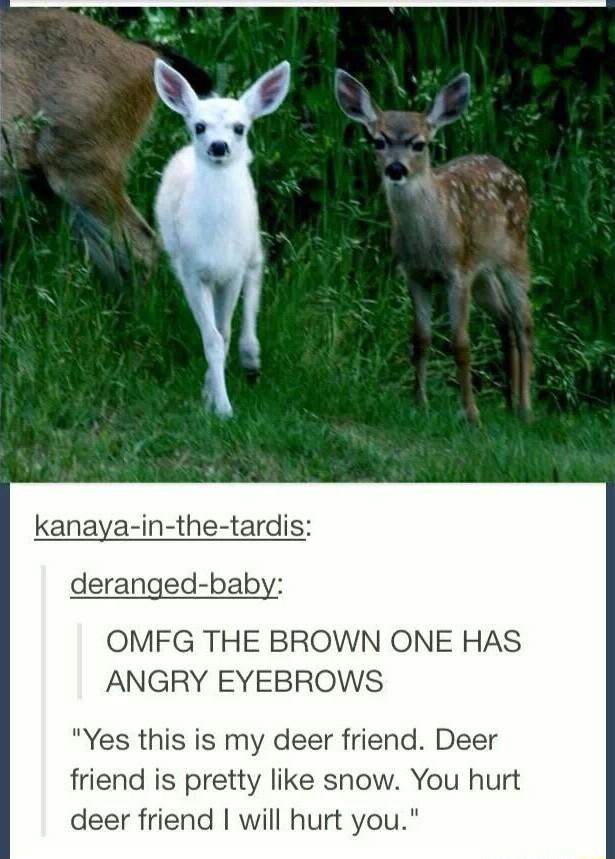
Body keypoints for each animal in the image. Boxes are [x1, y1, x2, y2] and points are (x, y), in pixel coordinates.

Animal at [153, 59, 291, 418]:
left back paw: (251, 355)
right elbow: (212, 338)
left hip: (252, 242)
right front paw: (219, 403)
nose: (219, 146)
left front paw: (219, 401)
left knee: (257, 276)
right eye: (199, 126)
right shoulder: (191, 271)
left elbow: (224, 332)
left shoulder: (233, 271)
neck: (215, 238)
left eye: (240, 128)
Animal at [335, 69, 534, 423]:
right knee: (505, 319)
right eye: (378, 141)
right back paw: (509, 403)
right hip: (483, 274)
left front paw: (471, 413)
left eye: (419, 144)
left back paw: (525, 408)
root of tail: (514, 173)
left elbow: (460, 344)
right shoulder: (415, 274)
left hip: (515, 256)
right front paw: (420, 403)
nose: (396, 169)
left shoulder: (458, 272)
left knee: (524, 322)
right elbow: (421, 338)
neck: (428, 244)